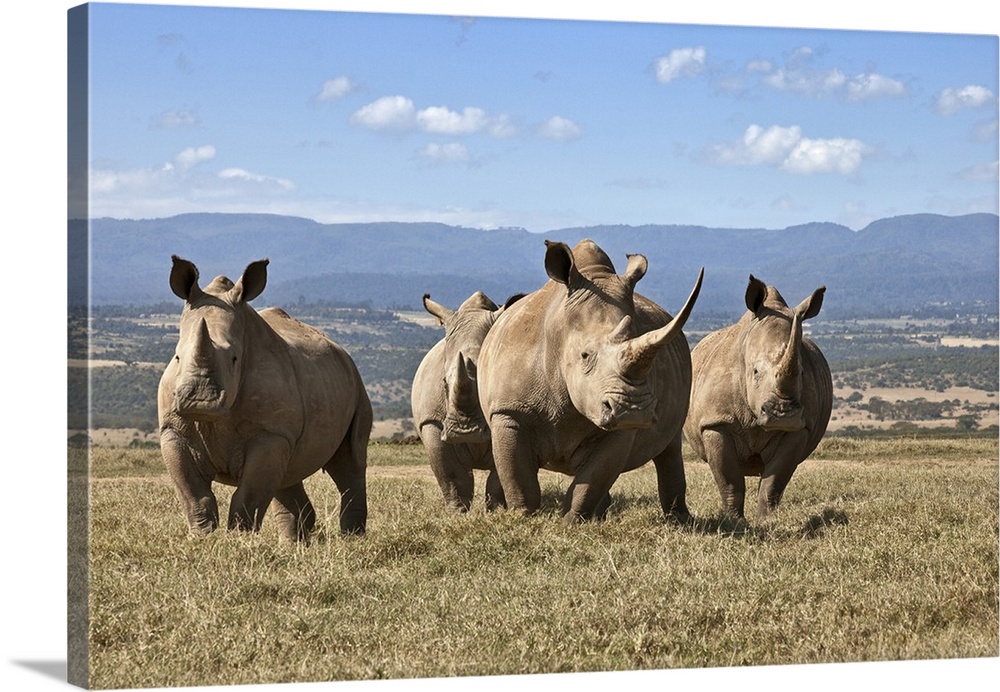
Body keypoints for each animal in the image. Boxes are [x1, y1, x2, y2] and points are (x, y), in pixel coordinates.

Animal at [156, 255, 372, 540]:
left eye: (235, 358)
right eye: (177, 357)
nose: (200, 403)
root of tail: (342, 351)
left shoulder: (271, 433)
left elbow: (248, 496)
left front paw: (239, 541)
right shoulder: (173, 430)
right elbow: (195, 496)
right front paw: (201, 540)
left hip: (356, 386)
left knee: (349, 462)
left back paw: (351, 540)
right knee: (288, 475)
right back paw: (293, 545)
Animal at [408, 290, 520, 510]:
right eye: (443, 382)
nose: (465, 432)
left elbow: (499, 475)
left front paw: (496, 511)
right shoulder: (432, 421)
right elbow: (452, 476)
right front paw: (456, 511)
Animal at [478, 239, 704, 524]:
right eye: (584, 355)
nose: (633, 410)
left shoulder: (620, 427)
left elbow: (593, 478)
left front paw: (572, 523)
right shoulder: (509, 410)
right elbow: (517, 475)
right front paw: (523, 518)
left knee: (669, 448)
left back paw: (678, 521)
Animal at [684, 274, 832, 520]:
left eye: (802, 373)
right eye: (755, 372)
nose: (784, 415)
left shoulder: (800, 428)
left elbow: (773, 483)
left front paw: (766, 521)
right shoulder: (716, 422)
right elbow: (730, 481)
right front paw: (734, 521)